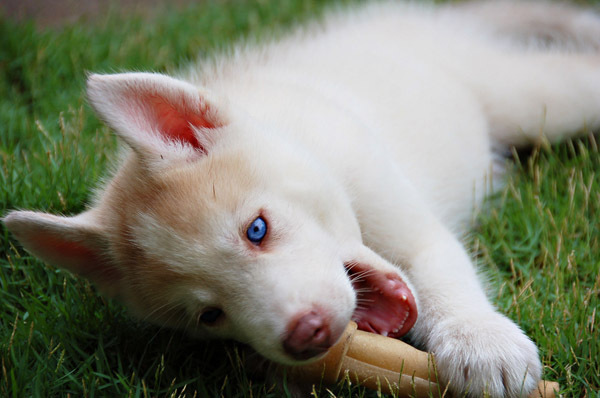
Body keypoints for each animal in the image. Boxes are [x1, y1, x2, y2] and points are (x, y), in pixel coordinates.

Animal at [4, 1, 600, 396]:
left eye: (257, 230)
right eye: (210, 315)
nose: (305, 335)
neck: (300, 133)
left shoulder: (403, 212)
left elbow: (441, 270)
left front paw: (479, 340)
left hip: (530, 100)